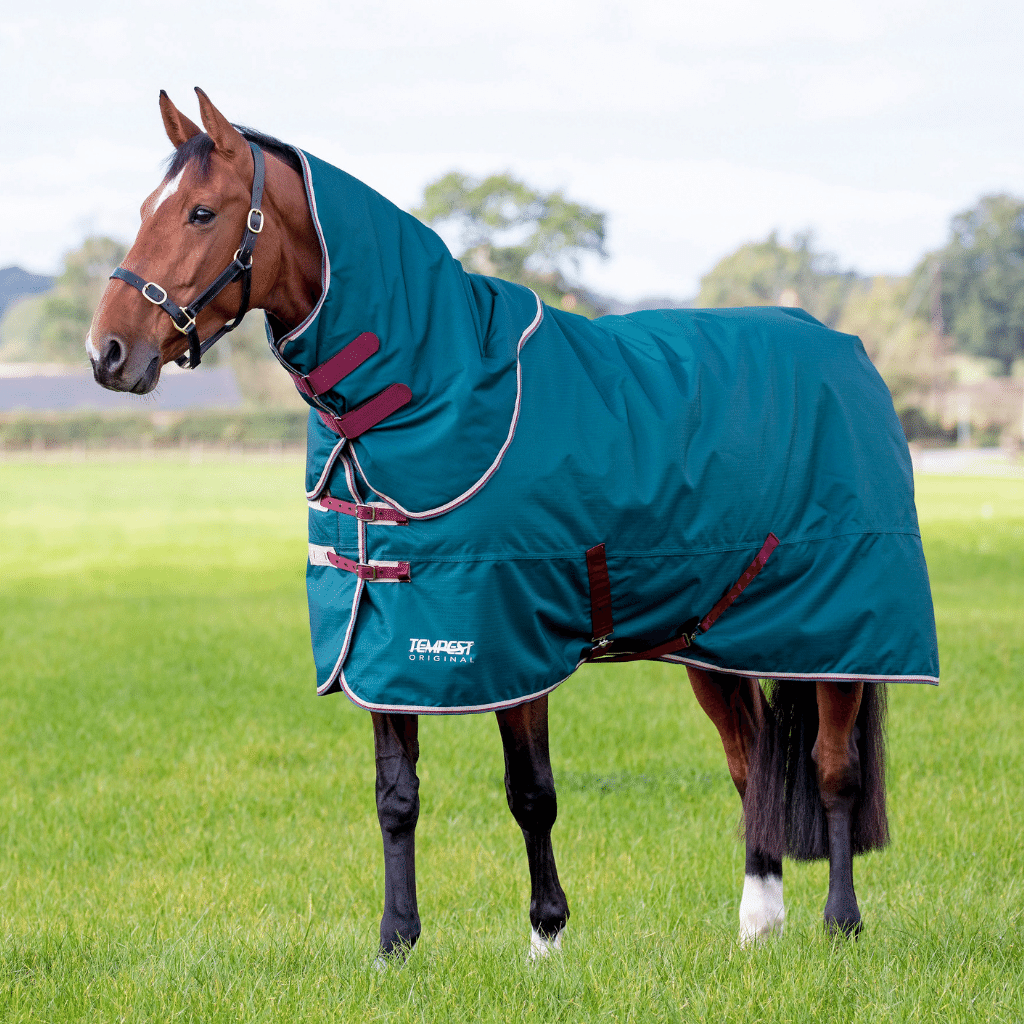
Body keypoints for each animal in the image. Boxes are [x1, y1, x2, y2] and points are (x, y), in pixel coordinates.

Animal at [88, 89, 938, 959]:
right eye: (148, 208)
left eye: (200, 212)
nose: (108, 352)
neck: (432, 379)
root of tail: (848, 353)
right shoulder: (385, 637)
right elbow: (396, 795)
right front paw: (397, 943)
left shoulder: (509, 636)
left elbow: (531, 792)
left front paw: (546, 938)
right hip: (720, 637)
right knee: (752, 762)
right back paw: (759, 923)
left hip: (844, 631)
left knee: (832, 769)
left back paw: (841, 923)